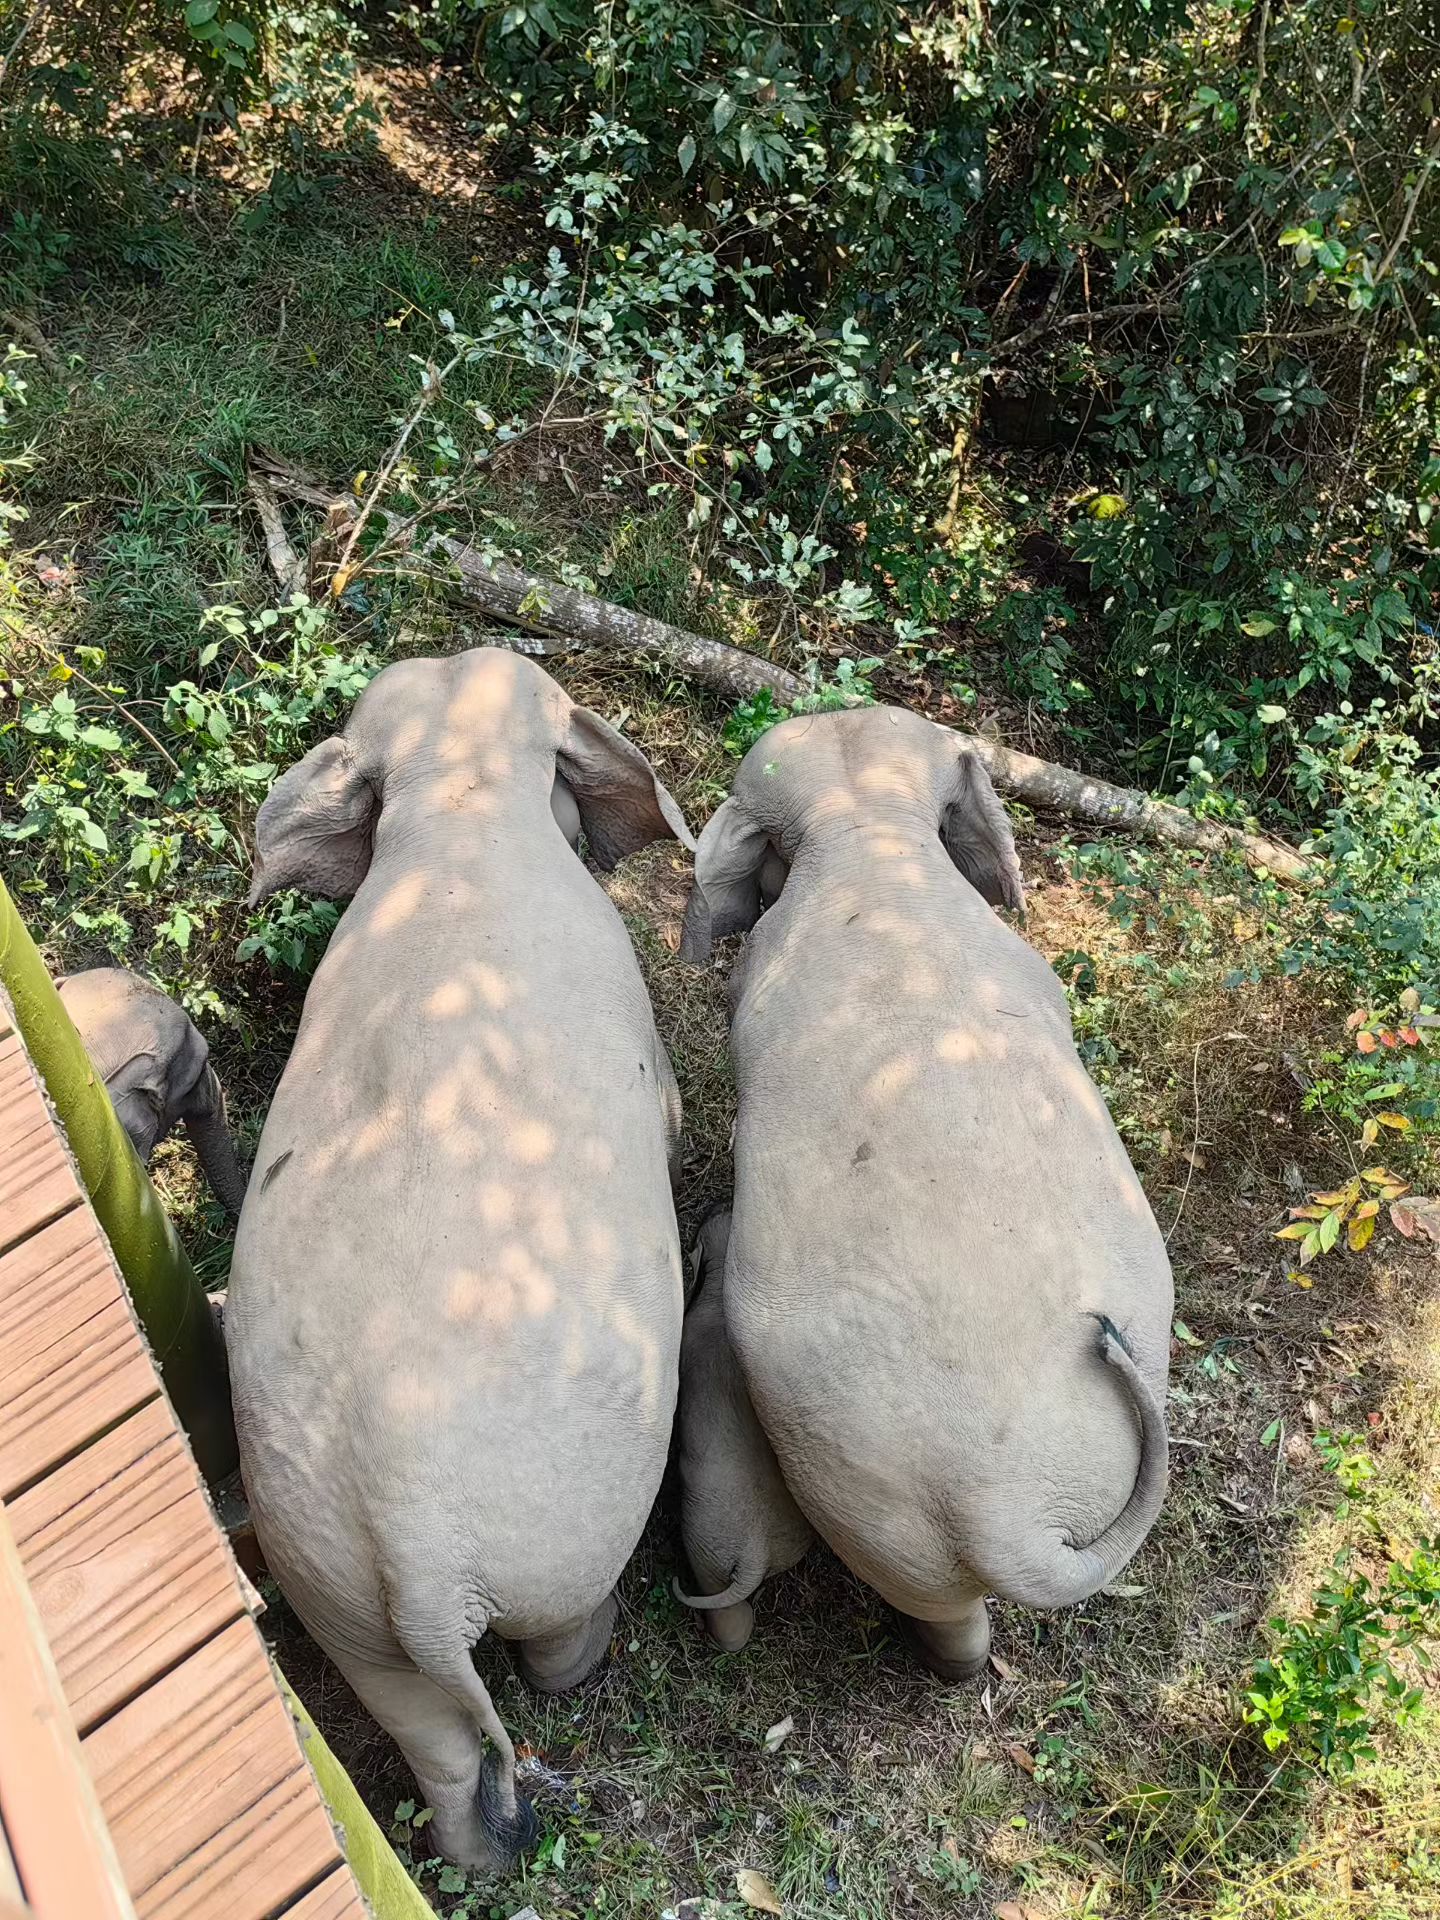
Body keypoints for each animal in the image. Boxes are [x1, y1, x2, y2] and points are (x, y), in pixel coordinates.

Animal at [225, 648, 693, 1872]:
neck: (463, 807)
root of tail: (418, 1548)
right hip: (567, 1529)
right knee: (554, 1638)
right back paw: (589, 1670)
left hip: (337, 1591)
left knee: (432, 1741)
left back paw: (476, 1853)